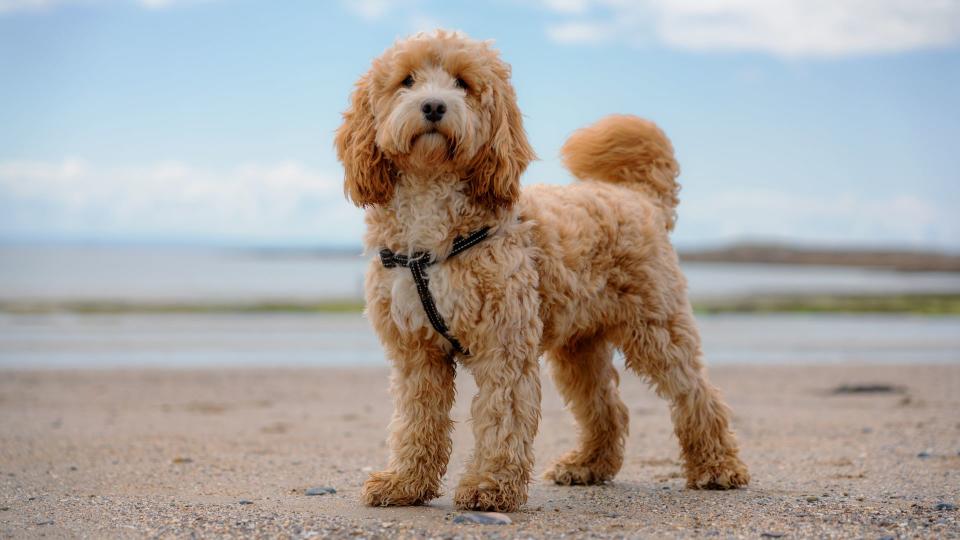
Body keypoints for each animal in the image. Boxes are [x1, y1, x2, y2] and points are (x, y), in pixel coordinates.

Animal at [338, 30, 752, 516]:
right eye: (407, 80)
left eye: (463, 83)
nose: (434, 106)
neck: (432, 210)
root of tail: (639, 196)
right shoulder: (416, 354)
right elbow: (416, 421)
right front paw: (405, 483)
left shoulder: (503, 344)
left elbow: (502, 416)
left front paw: (489, 486)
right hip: (579, 347)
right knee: (606, 407)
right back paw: (587, 466)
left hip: (658, 329)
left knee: (696, 395)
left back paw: (718, 467)